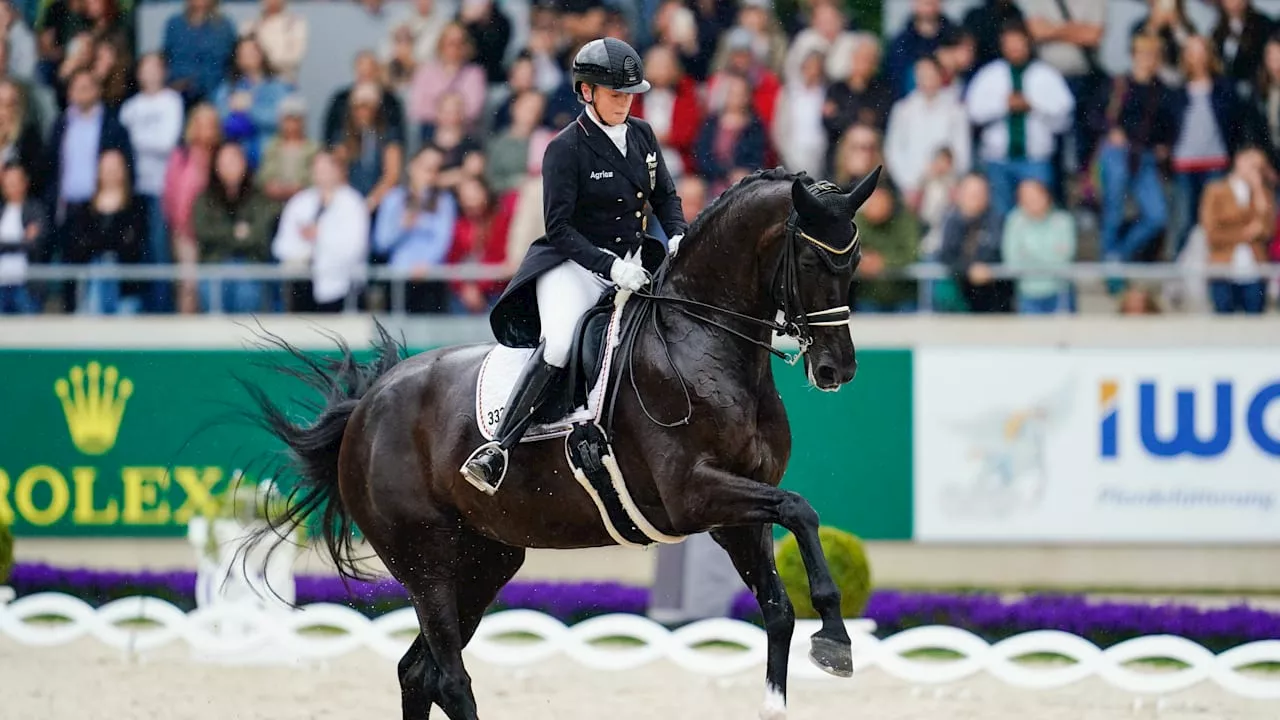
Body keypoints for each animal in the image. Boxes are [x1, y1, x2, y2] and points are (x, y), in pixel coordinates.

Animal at [240, 163, 880, 717]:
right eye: (811, 258)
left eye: (854, 262)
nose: (837, 369)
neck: (704, 342)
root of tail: (366, 408)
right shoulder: (693, 495)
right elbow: (800, 509)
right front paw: (836, 636)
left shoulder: (735, 514)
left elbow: (779, 606)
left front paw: (810, 658)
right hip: (427, 563)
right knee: (449, 677)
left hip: (484, 561)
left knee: (417, 673)